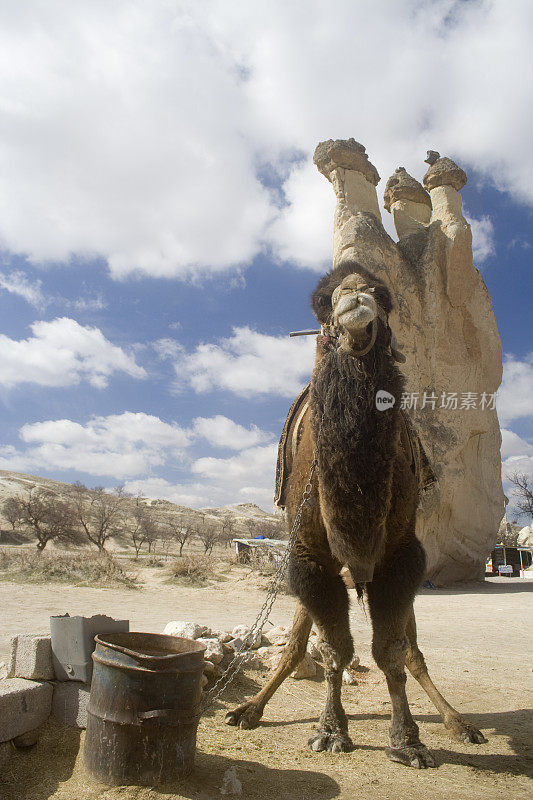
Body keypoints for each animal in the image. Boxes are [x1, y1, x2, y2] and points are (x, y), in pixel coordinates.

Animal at [224, 262, 486, 768]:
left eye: (380, 295)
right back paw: (248, 710)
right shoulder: (309, 554)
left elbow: (392, 651)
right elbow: (332, 650)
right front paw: (330, 731)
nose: (355, 294)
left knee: (413, 651)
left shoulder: (401, 557)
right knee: (298, 643)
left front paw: (408, 741)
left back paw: (460, 723)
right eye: (324, 301)